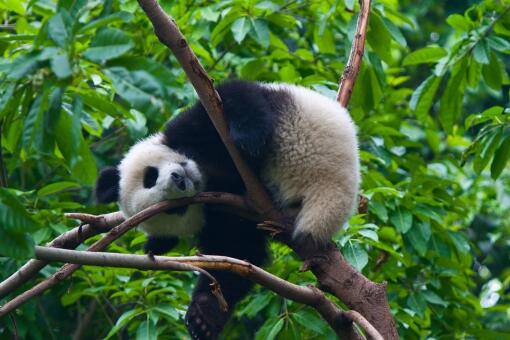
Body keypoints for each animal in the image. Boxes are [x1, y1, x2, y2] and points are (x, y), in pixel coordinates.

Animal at [94, 80, 358, 340]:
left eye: (149, 177)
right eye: (174, 210)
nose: (179, 180)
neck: (208, 172)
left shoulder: (190, 129)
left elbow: (231, 97)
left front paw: (248, 139)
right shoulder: (224, 216)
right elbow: (236, 252)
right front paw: (203, 317)